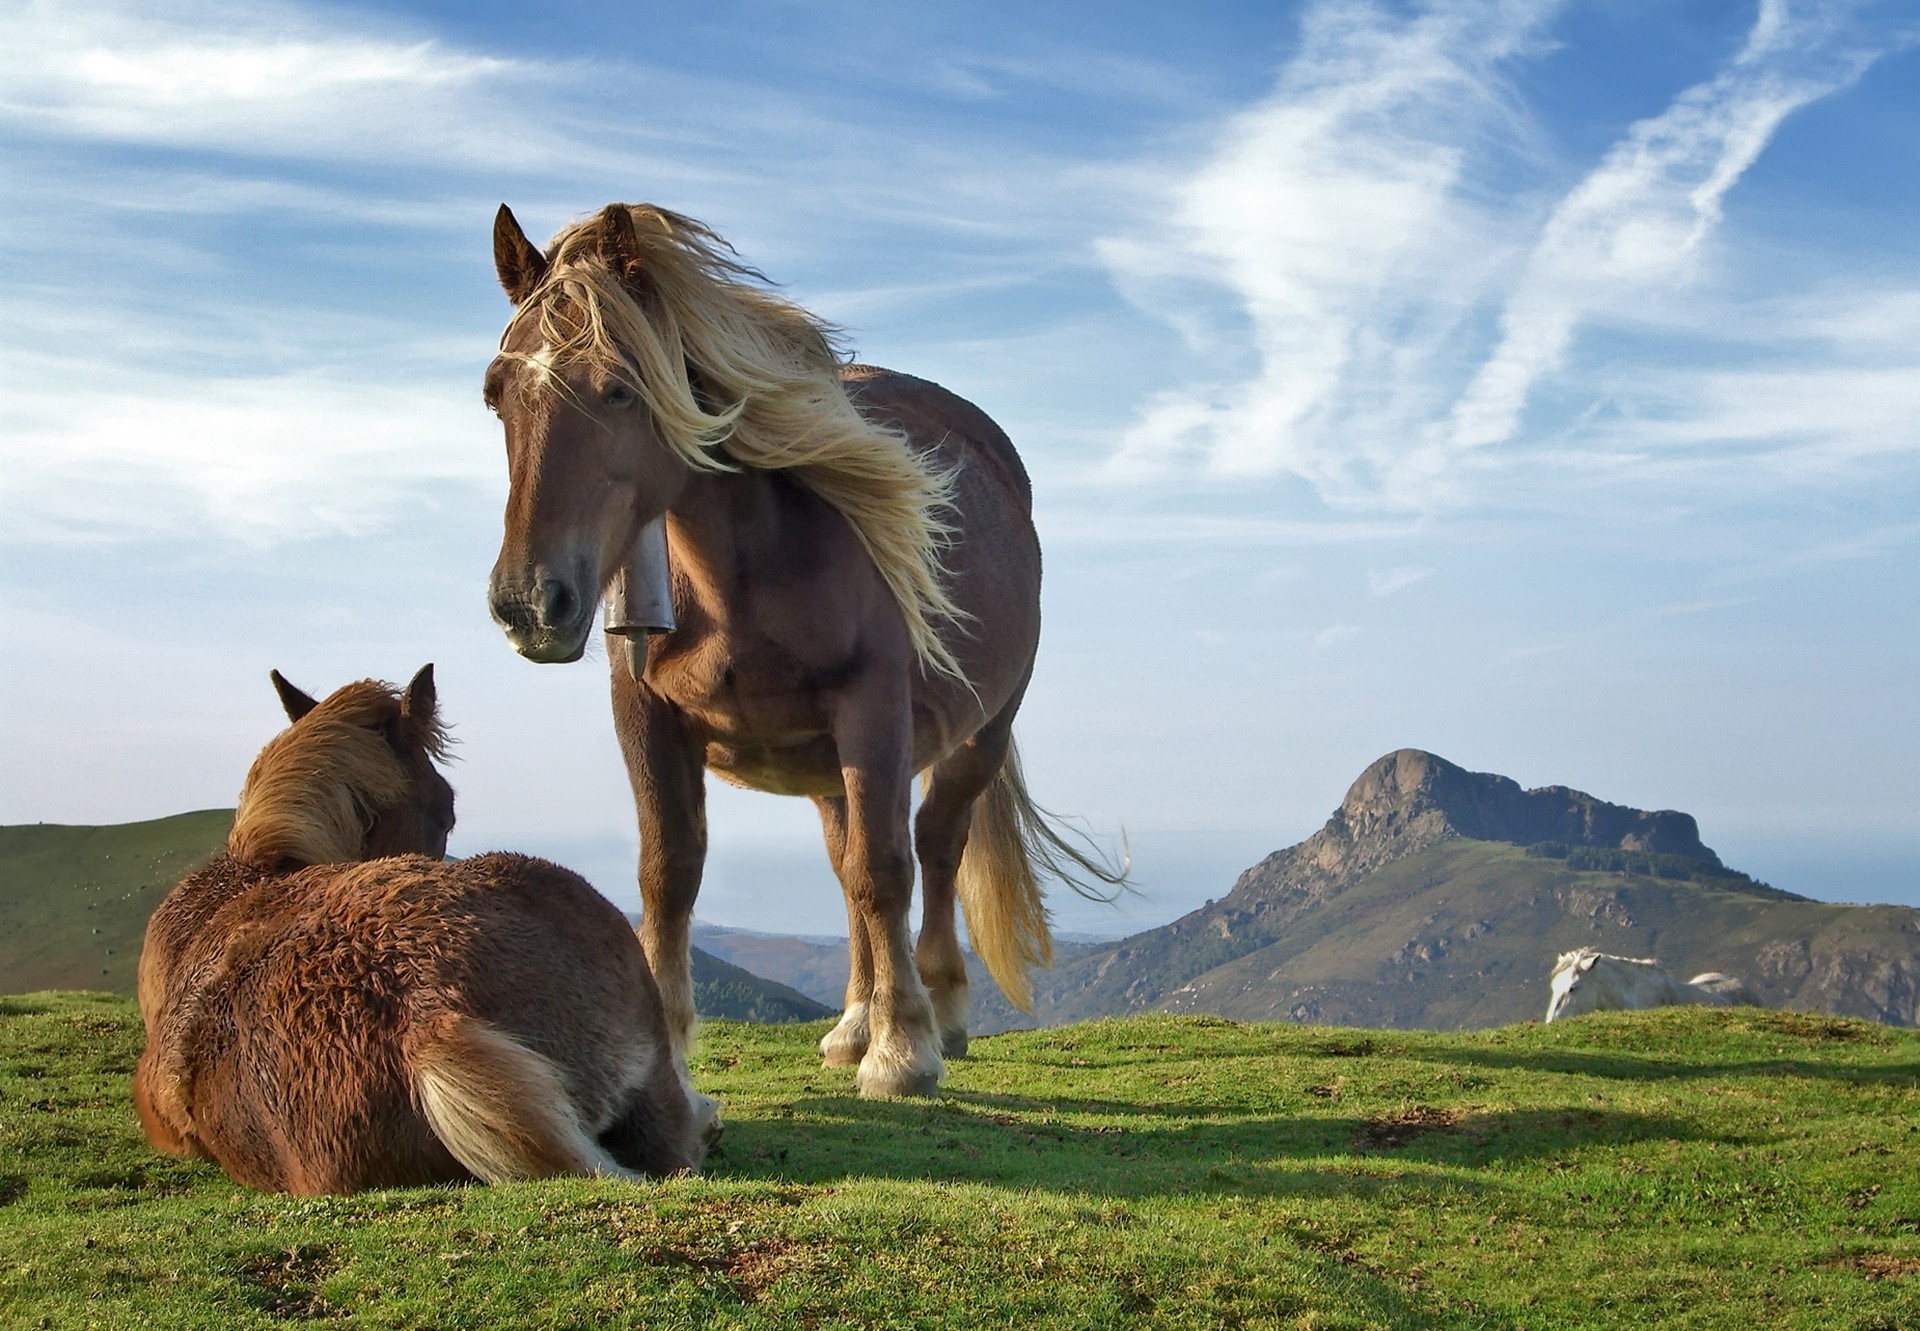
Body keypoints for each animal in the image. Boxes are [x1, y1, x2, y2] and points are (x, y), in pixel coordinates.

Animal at [483, 202, 1123, 1097]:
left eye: (618, 387)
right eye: (496, 395)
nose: (530, 604)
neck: (744, 569)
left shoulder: (874, 711)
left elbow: (886, 868)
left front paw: (903, 1050)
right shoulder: (644, 714)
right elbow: (669, 872)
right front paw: (672, 1050)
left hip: (979, 732)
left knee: (934, 845)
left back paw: (939, 1009)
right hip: (821, 761)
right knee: (844, 861)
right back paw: (854, 1018)